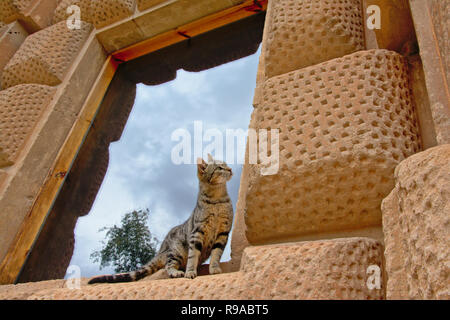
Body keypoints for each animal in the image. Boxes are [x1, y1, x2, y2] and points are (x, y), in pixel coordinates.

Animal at [89, 154, 234, 282]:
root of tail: (160, 250)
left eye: (226, 164)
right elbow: (193, 256)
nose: (230, 169)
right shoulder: (197, 232)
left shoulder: (223, 233)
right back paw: (176, 272)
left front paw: (214, 268)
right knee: (168, 266)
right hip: (176, 251)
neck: (218, 200)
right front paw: (190, 272)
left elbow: (216, 254)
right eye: (219, 168)